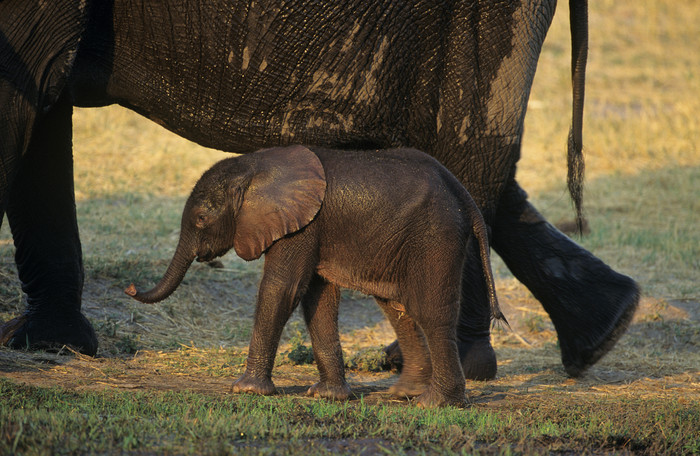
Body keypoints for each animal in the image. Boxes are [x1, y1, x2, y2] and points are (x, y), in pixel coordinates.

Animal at [0, 0, 640, 378]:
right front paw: (47, 346)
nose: (134, 288)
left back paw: (452, 362)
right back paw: (605, 329)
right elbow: (40, 114)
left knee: (468, 144)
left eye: (203, 221)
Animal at [124, 145, 498, 406]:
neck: (254, 166)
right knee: (397, 308)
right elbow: (317, 300)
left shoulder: (301, 226)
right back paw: (403, 394)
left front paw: (245, 390)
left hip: (436, 235)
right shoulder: (312, 229)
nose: (130, 288)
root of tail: (463, 193)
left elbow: (281, 289)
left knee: (429, 312)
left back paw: (433, 404)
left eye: (202, 218)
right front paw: (327, 397)